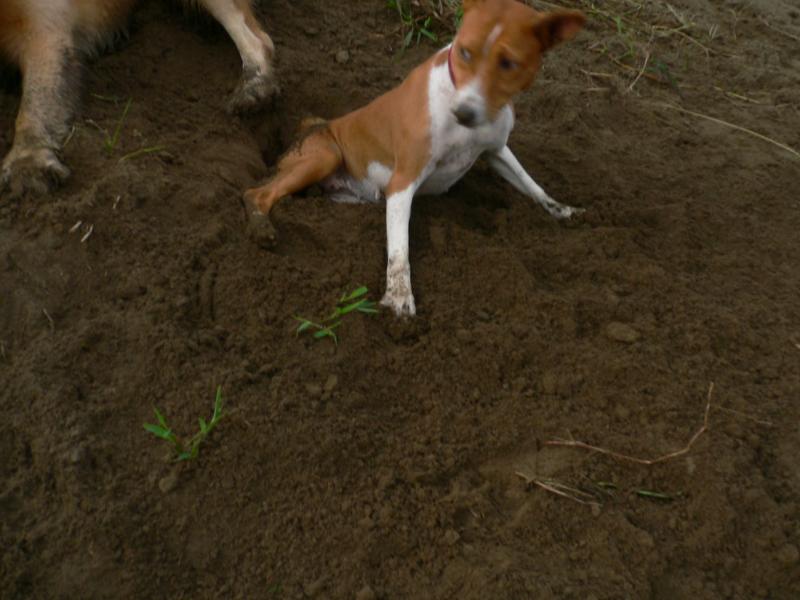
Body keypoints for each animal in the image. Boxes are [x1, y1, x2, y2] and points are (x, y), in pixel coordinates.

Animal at [243, 0, 585, 317]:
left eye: (508, 63)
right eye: (465, 52)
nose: (464, 113)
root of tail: (310, 125)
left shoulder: (496, 150)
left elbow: (532, 185)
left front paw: (563, 210)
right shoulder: (403, 182)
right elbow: (399, 251)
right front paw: (398, 298)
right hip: (326, 154)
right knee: (256, 194)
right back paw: (261, 227)